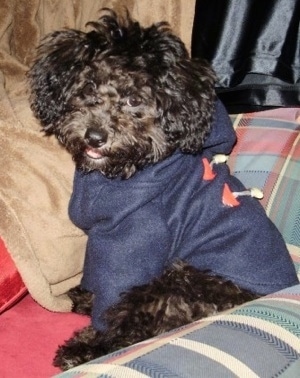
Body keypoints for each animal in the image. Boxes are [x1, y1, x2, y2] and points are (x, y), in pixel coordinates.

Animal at [27, 7, 298, 370]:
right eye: (88, 86)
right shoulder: (101, 238)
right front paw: (85, 293)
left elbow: (111, 290)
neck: (129, 169)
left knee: (134, 325)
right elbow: (95, 272)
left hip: (178, 280)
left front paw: (92, 340)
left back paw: (88, 348)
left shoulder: (134, 242)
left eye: (133, 99)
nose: (95, 137)